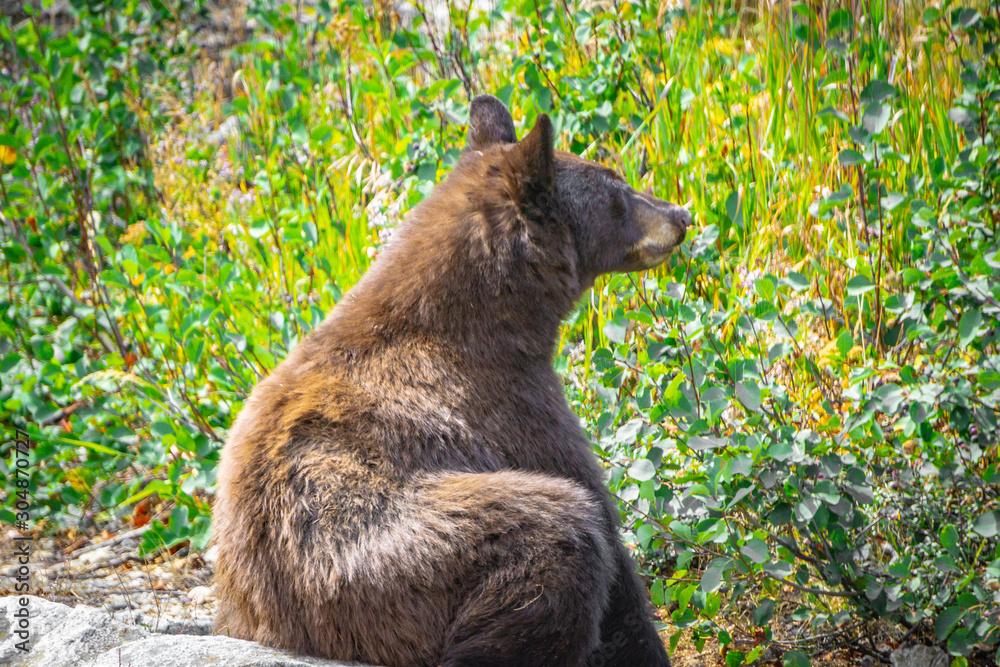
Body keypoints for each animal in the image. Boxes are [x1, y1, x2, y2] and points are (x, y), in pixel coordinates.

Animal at [212, 94, 690, 667]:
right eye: (616, 189)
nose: (681, 215)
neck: (480, 318)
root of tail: (281, 623)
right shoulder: (514, 405)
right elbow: (600, 516)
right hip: (402, 562)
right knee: (560, 528)